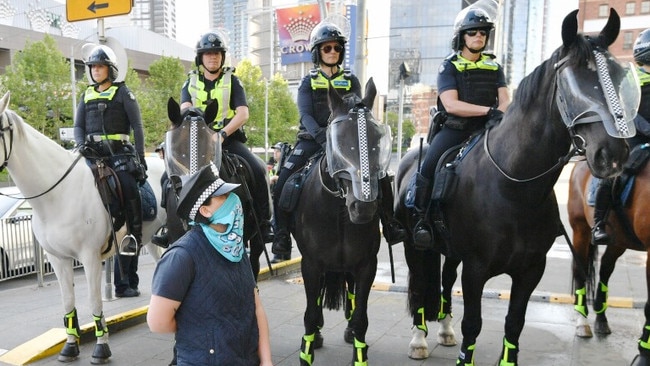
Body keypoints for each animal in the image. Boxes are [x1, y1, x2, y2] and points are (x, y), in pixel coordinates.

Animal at [0, 92, 166, 364]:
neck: (57, 193)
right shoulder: (57, 259)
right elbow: (68, 301)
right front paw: (70, 346)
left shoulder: (89, 257)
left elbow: (94, 300)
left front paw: (101, 348)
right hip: (151, 239)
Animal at [292, 78, 392, 366]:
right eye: (340, 142)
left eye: (377, 142)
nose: (363, 206)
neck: (337, 210)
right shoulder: (311, 264)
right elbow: (311, 311)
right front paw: (307, 350)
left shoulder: (366, 265)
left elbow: (360, 316)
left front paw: (359, 354)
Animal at [390, 9, 632, 366]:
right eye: (572, 84)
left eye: (617, 78)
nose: (612, 154)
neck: (514, 188)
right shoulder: (476, 269)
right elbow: (473, 323)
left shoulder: (530, 270)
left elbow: (515, 322)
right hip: (415, 246)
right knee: (421, 286)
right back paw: (419, 339)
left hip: (451, 250)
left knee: (446, 280)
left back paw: (444, 331)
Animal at [564, 154, 648, 364]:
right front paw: (644, 355)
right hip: (580, 229)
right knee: (580, 271)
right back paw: (582, 321)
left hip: (619, 239)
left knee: (605, 269)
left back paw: (601, 319)